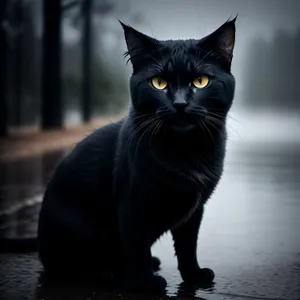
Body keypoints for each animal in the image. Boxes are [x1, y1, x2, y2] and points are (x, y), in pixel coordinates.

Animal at [36, 18, 237, 292]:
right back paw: (107, 273)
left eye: (201, 81)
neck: (186, 150)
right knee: (72, 266)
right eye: (159, 83)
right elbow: (137, 246)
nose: (180, 104)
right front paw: (145, 283)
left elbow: (187, 246)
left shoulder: (194, 209)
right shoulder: (133, 204)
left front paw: (194, 276)